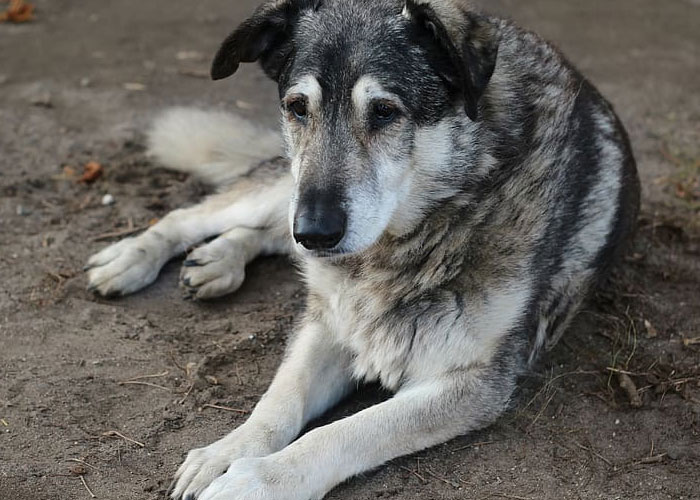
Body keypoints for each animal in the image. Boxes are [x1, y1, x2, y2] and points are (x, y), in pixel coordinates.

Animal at [83, 0, 640, 500]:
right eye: (297, 107)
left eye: (385, 112)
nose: (316, 232)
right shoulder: (329, 322)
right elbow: (278, 404)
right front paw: (227, 452)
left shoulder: (474, 382)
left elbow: (342, 433)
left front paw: (254, 481)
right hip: (287, 189)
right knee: (200, 216)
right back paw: (134, 258)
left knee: (266, 233)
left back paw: (220, 260)